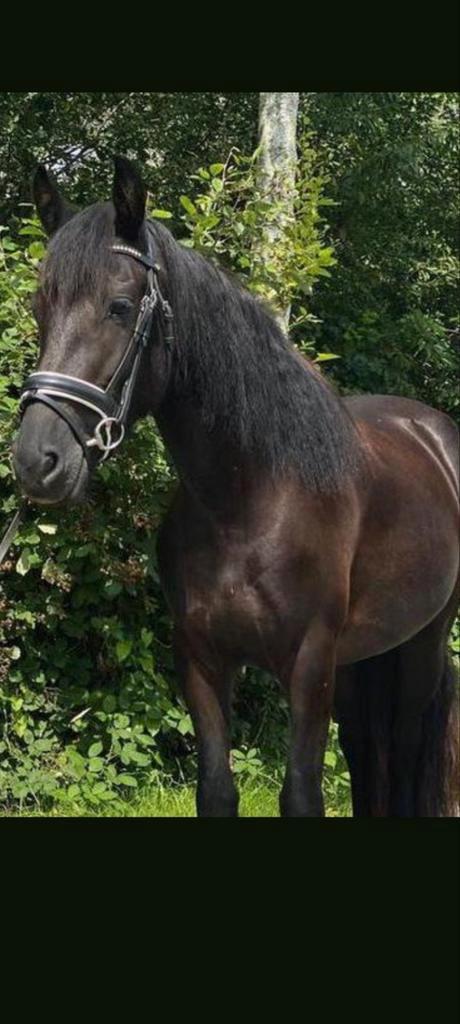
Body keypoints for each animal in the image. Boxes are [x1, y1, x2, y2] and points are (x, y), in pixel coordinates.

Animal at [12, 156, 459, 817]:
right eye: (41, 308)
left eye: (118, 307)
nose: (37, 461)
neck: (248, 503)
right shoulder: (201, 660)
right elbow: (217, 791)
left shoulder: (308, 664)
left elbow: (301, 794)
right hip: (365, 656)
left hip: (423, 644)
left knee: (403, 756)